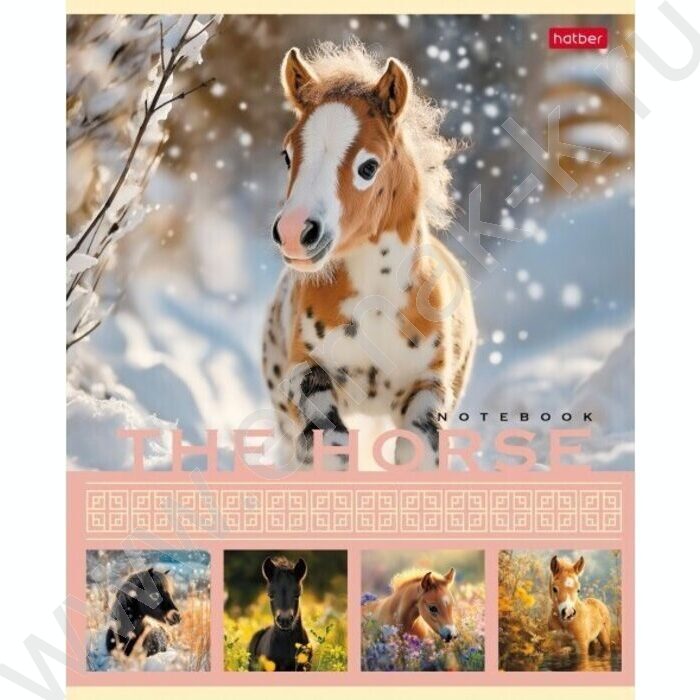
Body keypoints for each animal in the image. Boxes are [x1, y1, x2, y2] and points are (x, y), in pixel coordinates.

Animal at [262, 42, 477, 471]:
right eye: (287, 155)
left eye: (368, 167)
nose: (294, 232)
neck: (376, 300)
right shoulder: (304, 372)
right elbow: (329, 437)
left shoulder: (428, 387)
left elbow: (420, 448)